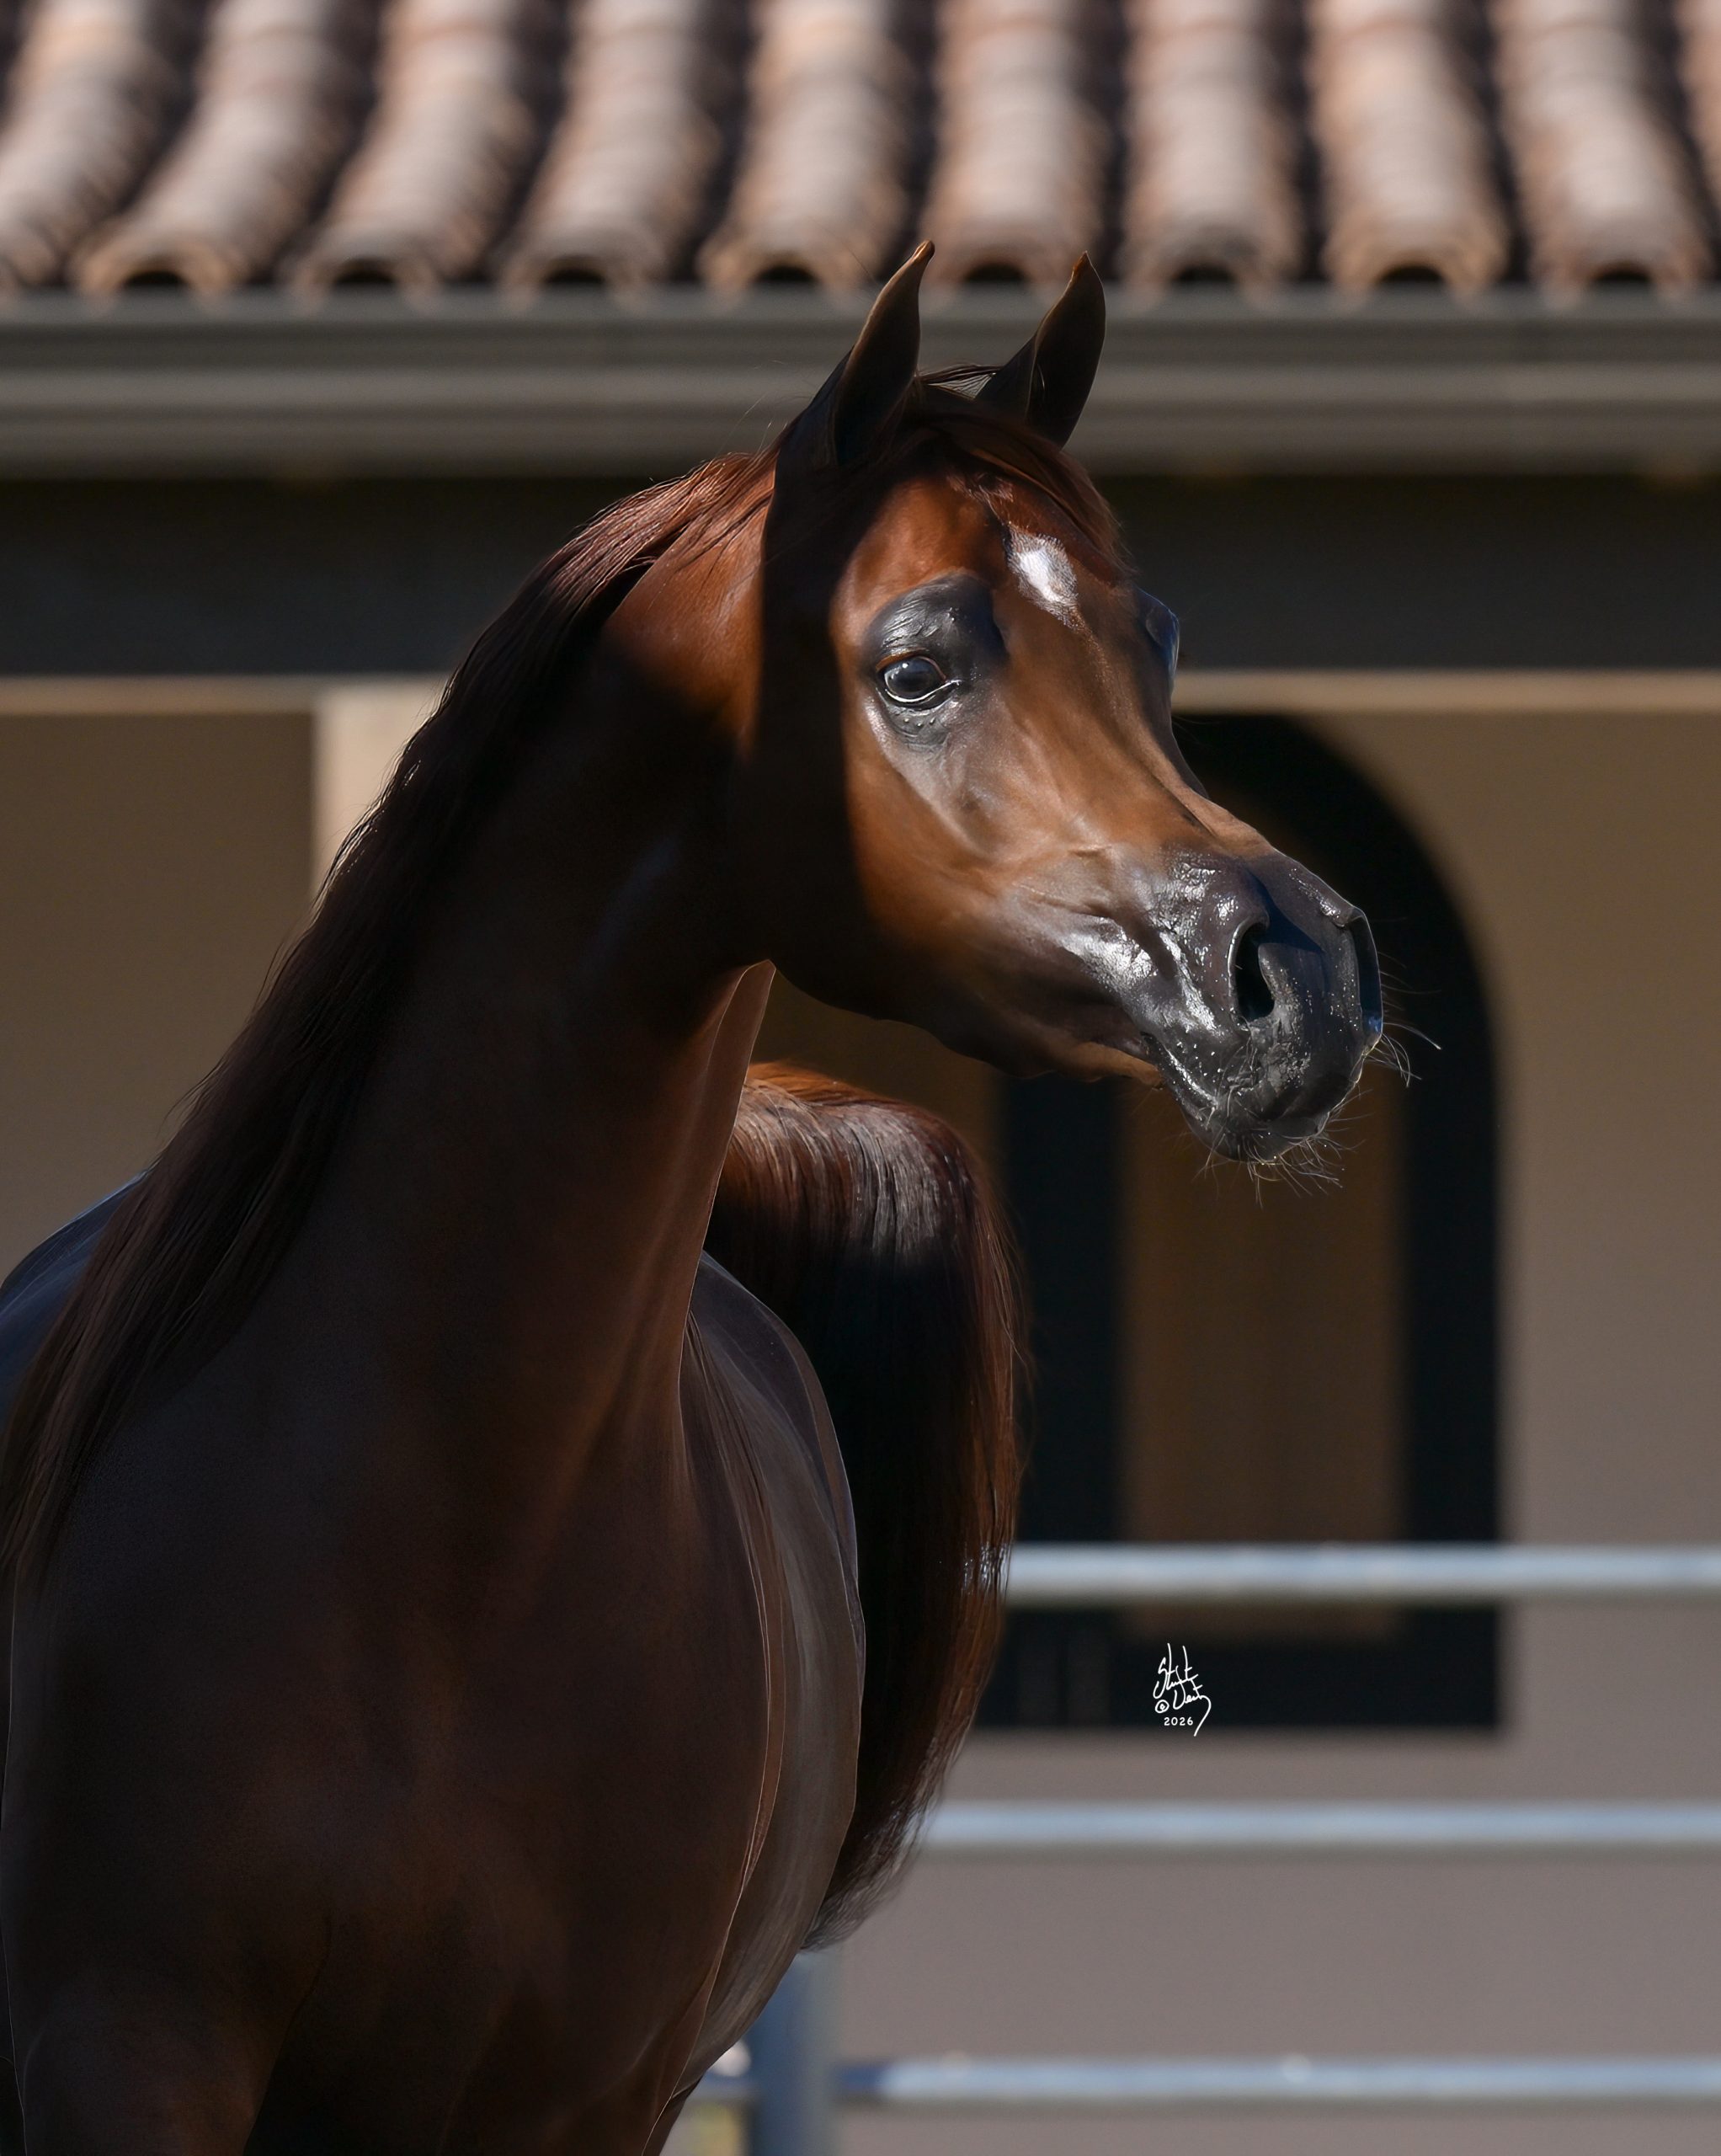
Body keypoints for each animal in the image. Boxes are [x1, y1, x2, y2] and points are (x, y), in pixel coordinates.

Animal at [0, 245, 1381, 2154]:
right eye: (916, 663)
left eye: (1152, 640)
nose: (1296, 973)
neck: (441, 1547)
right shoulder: (122, 2052)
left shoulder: (577, 2096)